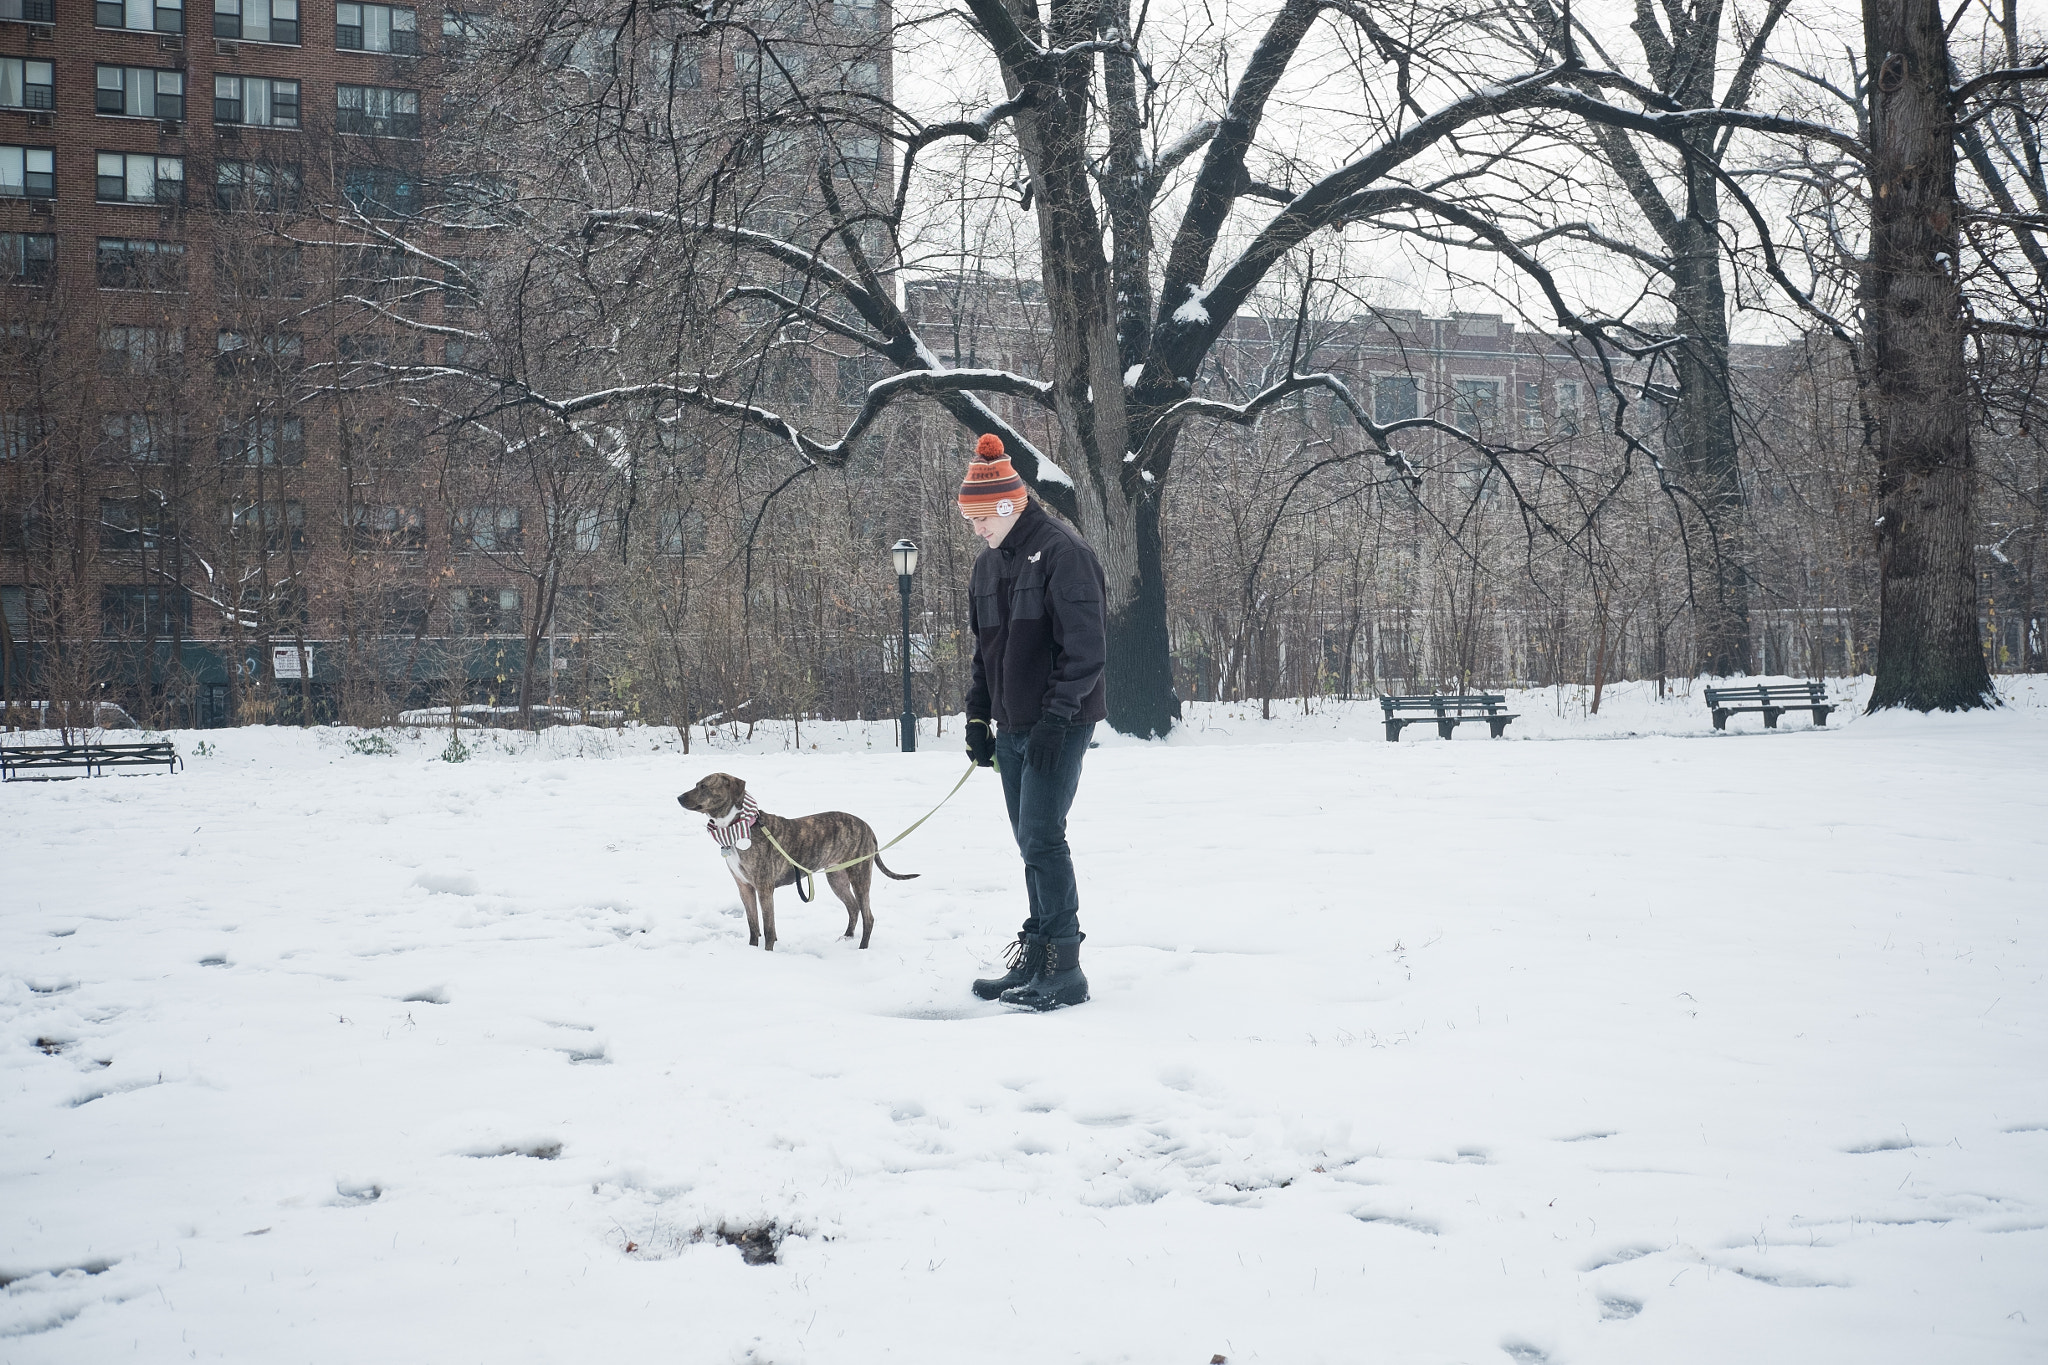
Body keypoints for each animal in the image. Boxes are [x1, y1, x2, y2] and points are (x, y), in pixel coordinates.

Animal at [675, 773, 917, 957]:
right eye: (697, 784)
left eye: (704, 786)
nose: (678, 797)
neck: (740, 826)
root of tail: (867, 827)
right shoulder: (744, 887)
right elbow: (753, 926)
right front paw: (752, 952)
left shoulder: (764, 888)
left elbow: (768, 928)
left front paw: (767, 955)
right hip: (836, 877)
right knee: (853, 908)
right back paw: (847, 938)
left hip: (859, 875)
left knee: (868, 915)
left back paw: (862, 948)